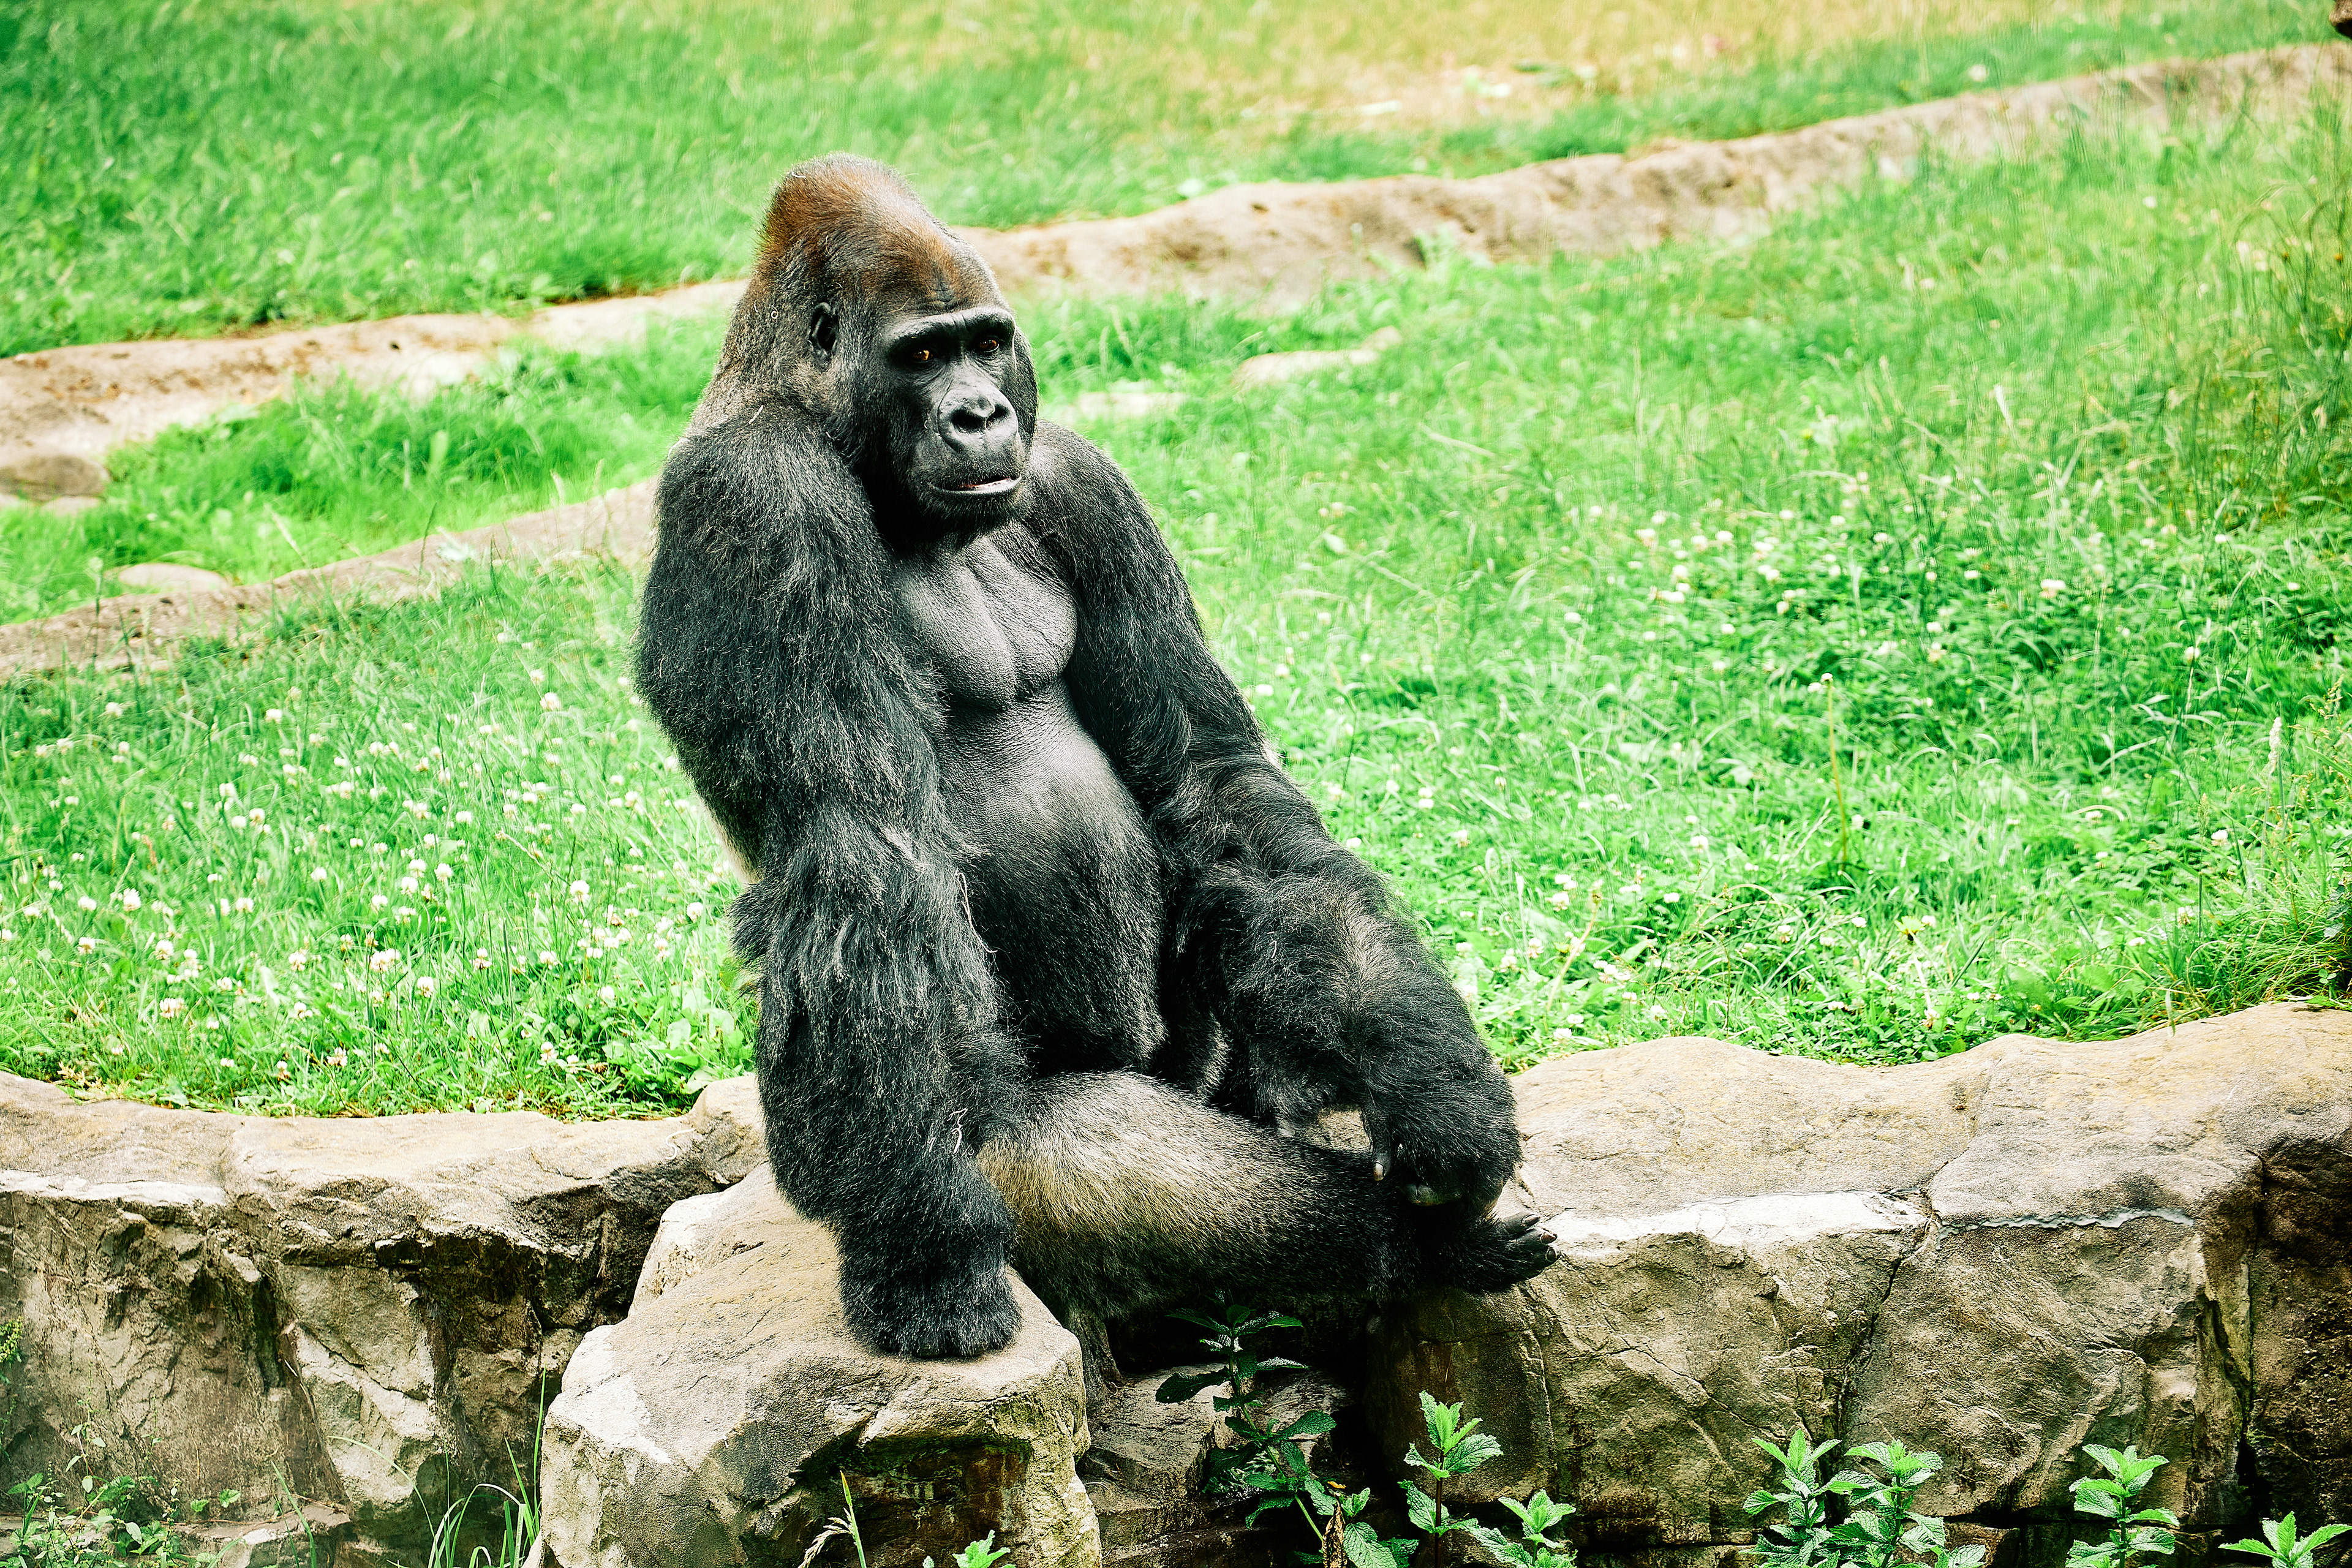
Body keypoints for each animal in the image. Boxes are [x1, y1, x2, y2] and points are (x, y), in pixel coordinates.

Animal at [635, 155, 1554, 1360]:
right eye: (920, 356)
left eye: (986, 344)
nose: (980, 413)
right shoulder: (759, 504)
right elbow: (867, 858)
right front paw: (924, 1258)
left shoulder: (1080, 479)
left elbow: (1210, 778)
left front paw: (1437, 1091)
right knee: (1087, 1146)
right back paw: (1411, 1245)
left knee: (1253, 913)